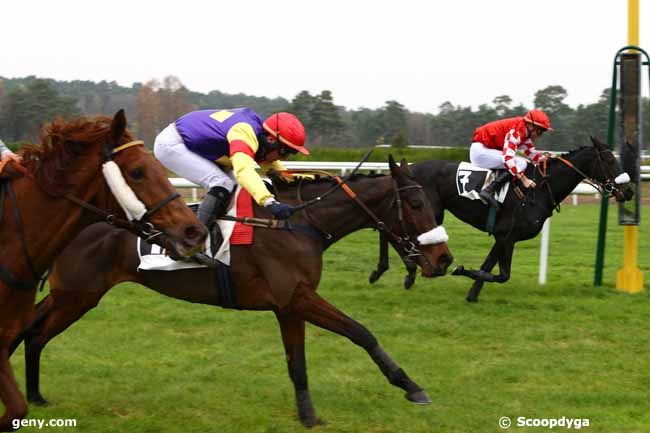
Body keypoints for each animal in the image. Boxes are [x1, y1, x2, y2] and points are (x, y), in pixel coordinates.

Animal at [13, 156, 450, 426]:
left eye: (430, 201)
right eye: (415, 203)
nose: (444, 259)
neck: (297, 224)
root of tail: (74, 218)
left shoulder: (288, 305)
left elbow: (297, 364)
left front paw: (308, 416)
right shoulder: (297, 297)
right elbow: (361, 332)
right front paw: (411, 387)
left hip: (71, 294)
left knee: (30, 331)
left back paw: (34, 395)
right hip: (78, 295)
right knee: (34, 333)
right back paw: (30, 395)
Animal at [368, 137, 632, 302]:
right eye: (610, 160)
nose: (628, 191)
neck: (538, 188)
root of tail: (405, 171)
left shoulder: (503, 236)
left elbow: (488, 268)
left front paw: (472, 294)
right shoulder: (507, 235)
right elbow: (502, 275)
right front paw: (461, 271)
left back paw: (394, 270)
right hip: (426, 212)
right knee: (391, 231)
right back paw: (401, 271)